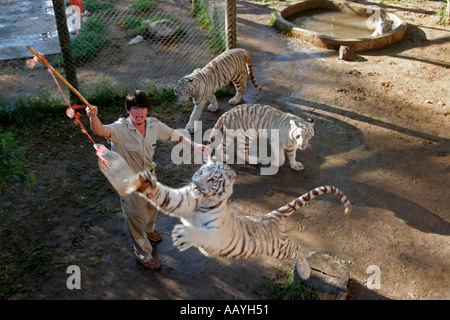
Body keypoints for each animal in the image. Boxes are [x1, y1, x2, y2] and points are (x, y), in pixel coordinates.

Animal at [134, 158, 352, 280]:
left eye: (212, 179)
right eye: (201, 171)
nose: (195, 186)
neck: (201, 201)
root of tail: (270, 216)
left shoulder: (217, 236)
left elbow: (201, 234)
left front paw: (183, 235)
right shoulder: (181, 202)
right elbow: (163, 195)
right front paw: (144, 183)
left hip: (279, 248)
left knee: (297, 249)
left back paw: (305, 272)